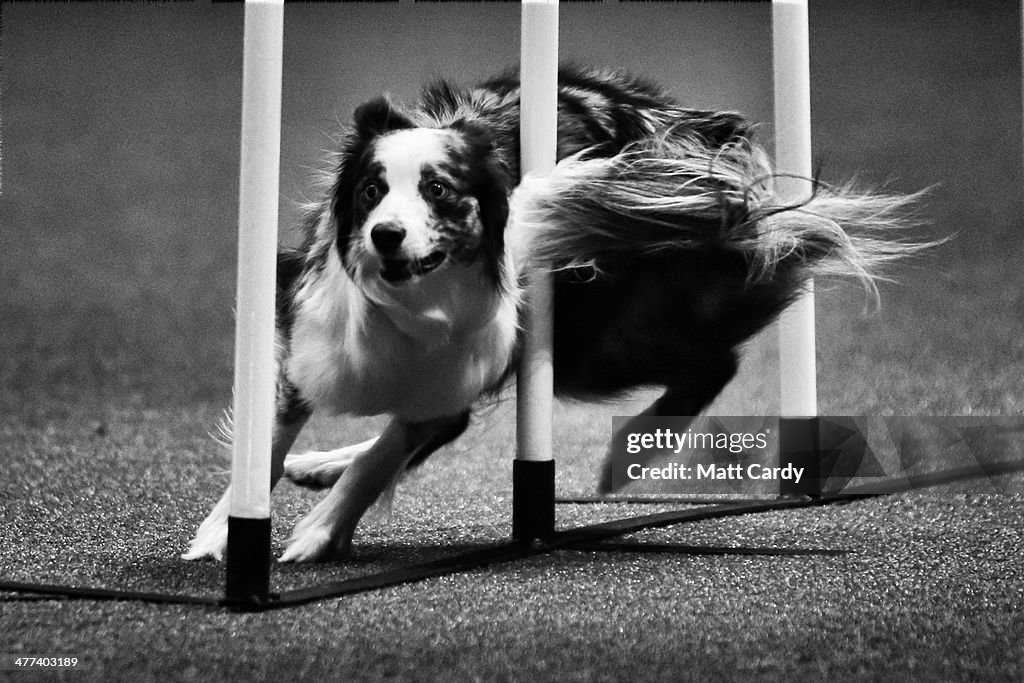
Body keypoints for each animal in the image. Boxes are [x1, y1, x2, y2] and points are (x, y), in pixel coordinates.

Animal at [184, 66, 921, 565]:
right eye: (371, 190)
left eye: (438, 191)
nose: (385, 236)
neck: (414, 301)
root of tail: (684, 127)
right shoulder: (304, 343)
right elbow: (273, 444)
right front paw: (225, 528)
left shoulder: (466, 358)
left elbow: (393, 448)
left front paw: (318, 531)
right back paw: (322, 464)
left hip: (592, 343)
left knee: (715, 361)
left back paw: (627, 453)